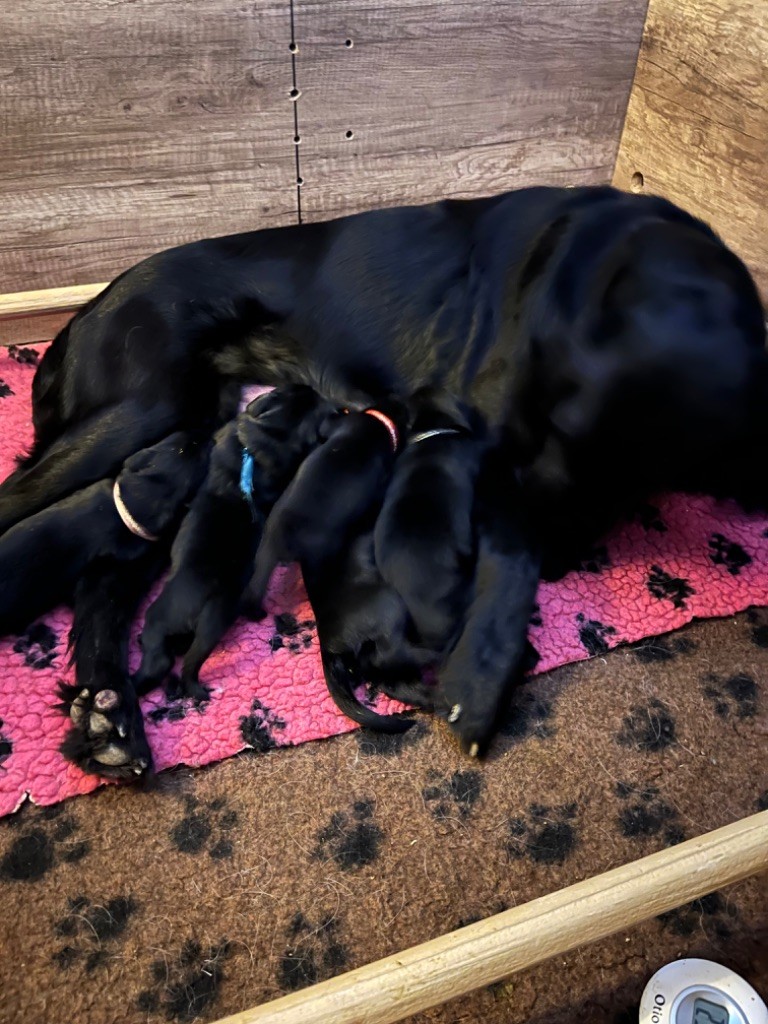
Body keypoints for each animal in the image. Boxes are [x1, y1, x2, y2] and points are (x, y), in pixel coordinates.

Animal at [134, 385, 337, 704]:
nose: (329, 402)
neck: (254, 449)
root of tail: (180, 614)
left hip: (156, 622)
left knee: (159, 656)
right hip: (214, 621)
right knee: (189, 664)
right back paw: (200, 689)